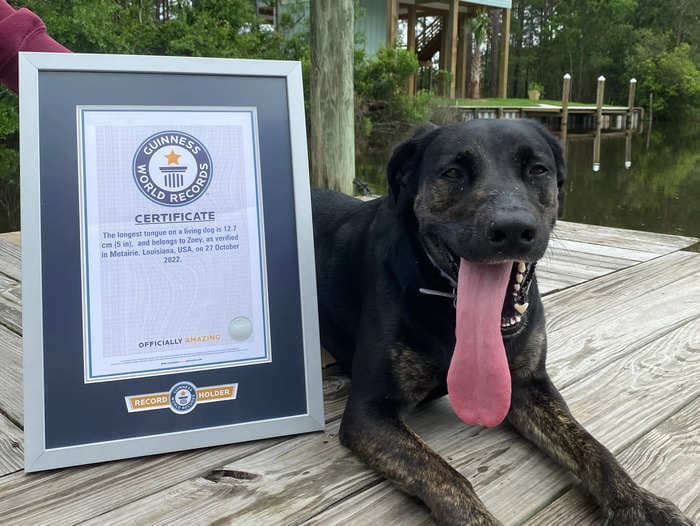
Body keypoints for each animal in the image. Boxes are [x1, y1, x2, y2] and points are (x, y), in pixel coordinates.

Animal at [310, 121, 688, 524]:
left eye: (538, 169)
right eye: (453, 172)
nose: (512, 229)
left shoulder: (528, 384)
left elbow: (591, 445)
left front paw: (639, 501)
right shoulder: (370, 410)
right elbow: (444, 475)